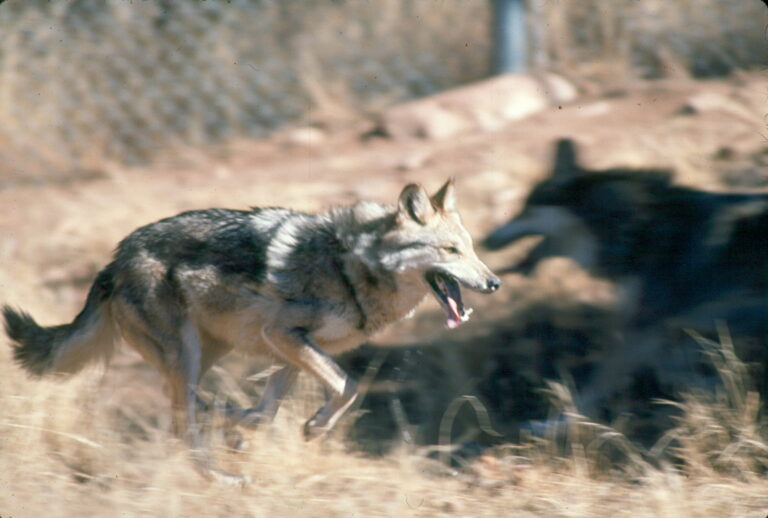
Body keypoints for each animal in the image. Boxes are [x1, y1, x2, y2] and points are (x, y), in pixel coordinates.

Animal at [4, 179, 500, 484]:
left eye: (472, 249)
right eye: (450, 250)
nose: (494, 283)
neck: (351, 266)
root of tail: (113, 262)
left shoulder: (289, 349)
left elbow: (267, 412)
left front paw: (275, 427)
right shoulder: (283, 335)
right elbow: (349, 386)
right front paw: (308, 426)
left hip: (207, 352)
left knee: (182, 409)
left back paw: (219, 427)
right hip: (187, 352)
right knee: (182, 423)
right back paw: (223, 477)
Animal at [483, 139, 768, 417]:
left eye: (527, 210)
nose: (484, 240)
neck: (636, 229)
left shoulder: (645, 328)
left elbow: (595, 387)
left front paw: (558, 423)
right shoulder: (666, 327)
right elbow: (668, 368)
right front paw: (710, 388)